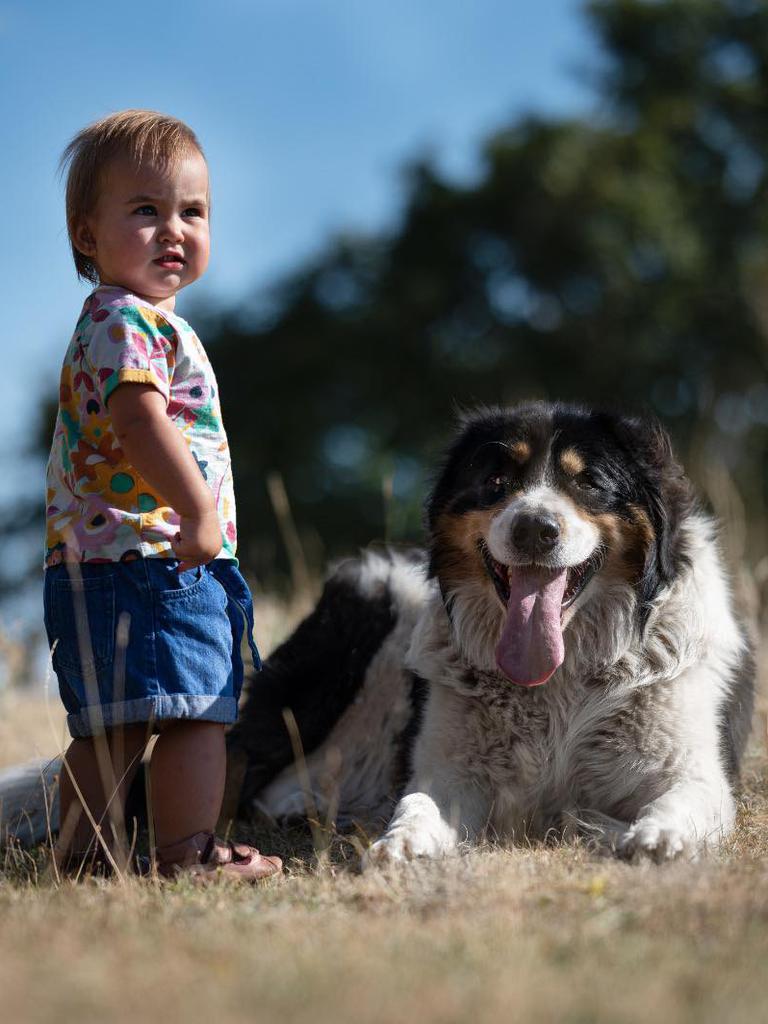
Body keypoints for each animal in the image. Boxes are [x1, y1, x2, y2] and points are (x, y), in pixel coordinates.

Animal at [0, 403, 757, 860]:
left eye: (590, 484)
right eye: (496, 481)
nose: (535, 528)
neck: (562, 680)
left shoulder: (691, 769)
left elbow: (686, 800)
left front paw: (652, 836)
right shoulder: (451, 768)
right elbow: (420, 801)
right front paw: (405, 841)